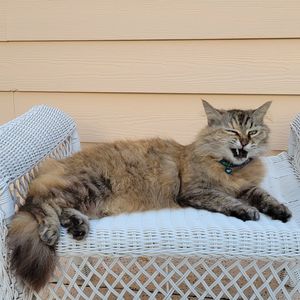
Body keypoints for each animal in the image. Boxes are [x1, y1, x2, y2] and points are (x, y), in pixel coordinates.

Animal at [8, 101, 292, 290]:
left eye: (253, 132)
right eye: (232, 132)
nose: (244, 142)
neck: (229, 169)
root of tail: (54, 165)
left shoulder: (247, 188)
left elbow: (264, 196)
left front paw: (280, 210)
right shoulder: (196, 191)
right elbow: (227, 201)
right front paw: (246, 211)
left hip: (90, 199)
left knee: (60, 207)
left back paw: (77, 226)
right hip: (90, 185)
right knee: (38, 204)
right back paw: (51, 230)